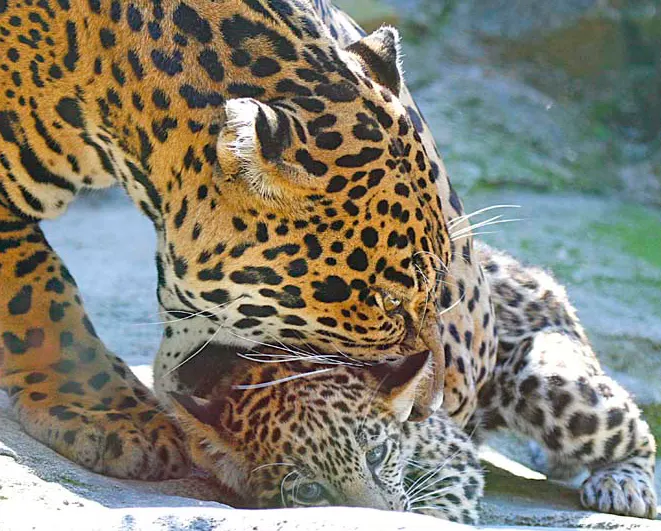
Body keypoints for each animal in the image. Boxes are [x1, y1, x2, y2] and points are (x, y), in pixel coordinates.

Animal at [169, 241, 657, 523]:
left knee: (636, 433)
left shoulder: (453, 455)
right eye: (309, 491)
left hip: (545, 376)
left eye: (377, 454)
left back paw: (622, 486)